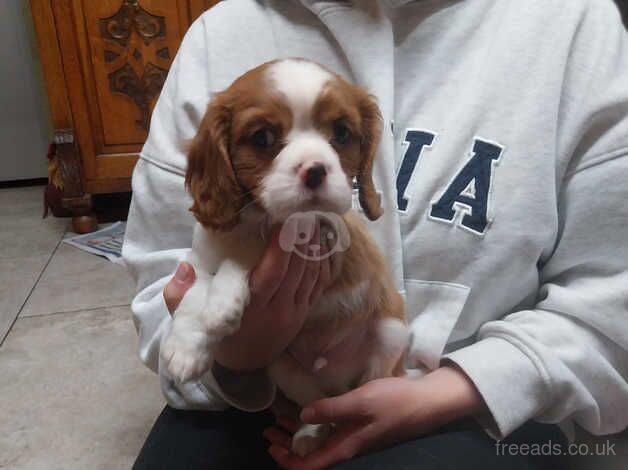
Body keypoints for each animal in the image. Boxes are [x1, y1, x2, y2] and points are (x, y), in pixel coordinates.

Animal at [162, 57, 408, 456]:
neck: (258, 220)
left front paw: (223, 303)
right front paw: (185, 348)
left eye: (342, 134)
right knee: (319, 405)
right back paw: (310, 433)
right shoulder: (199, 258)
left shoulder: (324, 233)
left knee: (366, 387)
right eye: (262, 138)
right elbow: (195, 289)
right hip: (283, 366)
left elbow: (246, 259)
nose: (315, 170)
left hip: (391, 333)